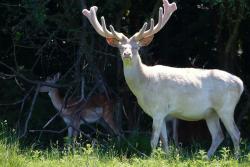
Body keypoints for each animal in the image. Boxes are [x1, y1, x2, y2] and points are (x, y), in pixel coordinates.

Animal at [82, 0, 244, 158]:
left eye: (136, 47)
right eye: (121, 47)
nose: (127, 54)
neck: (144, 85)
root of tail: (240, 84)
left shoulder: (158, 108)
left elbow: (154, 140)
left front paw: (152, 158)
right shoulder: (163, 113)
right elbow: (164, 140)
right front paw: (166, 158)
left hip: (226, 107)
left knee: (236, 134)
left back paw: (235, 158)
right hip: (210, 112)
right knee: (218, 135)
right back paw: (206, 158)